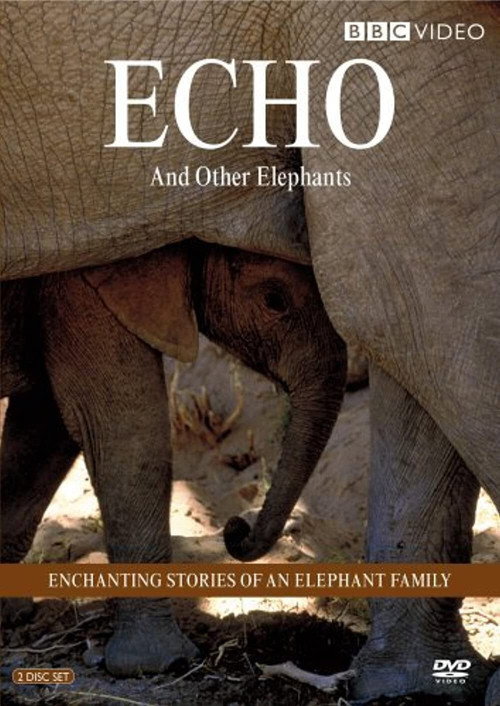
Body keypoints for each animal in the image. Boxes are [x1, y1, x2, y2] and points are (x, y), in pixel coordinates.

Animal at [1, 240, 347, 675]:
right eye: (274, 301)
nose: (235, 528)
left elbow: (46, 426)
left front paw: (11, 613)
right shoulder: (91, 286)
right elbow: (123, 427)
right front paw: (161, 663)